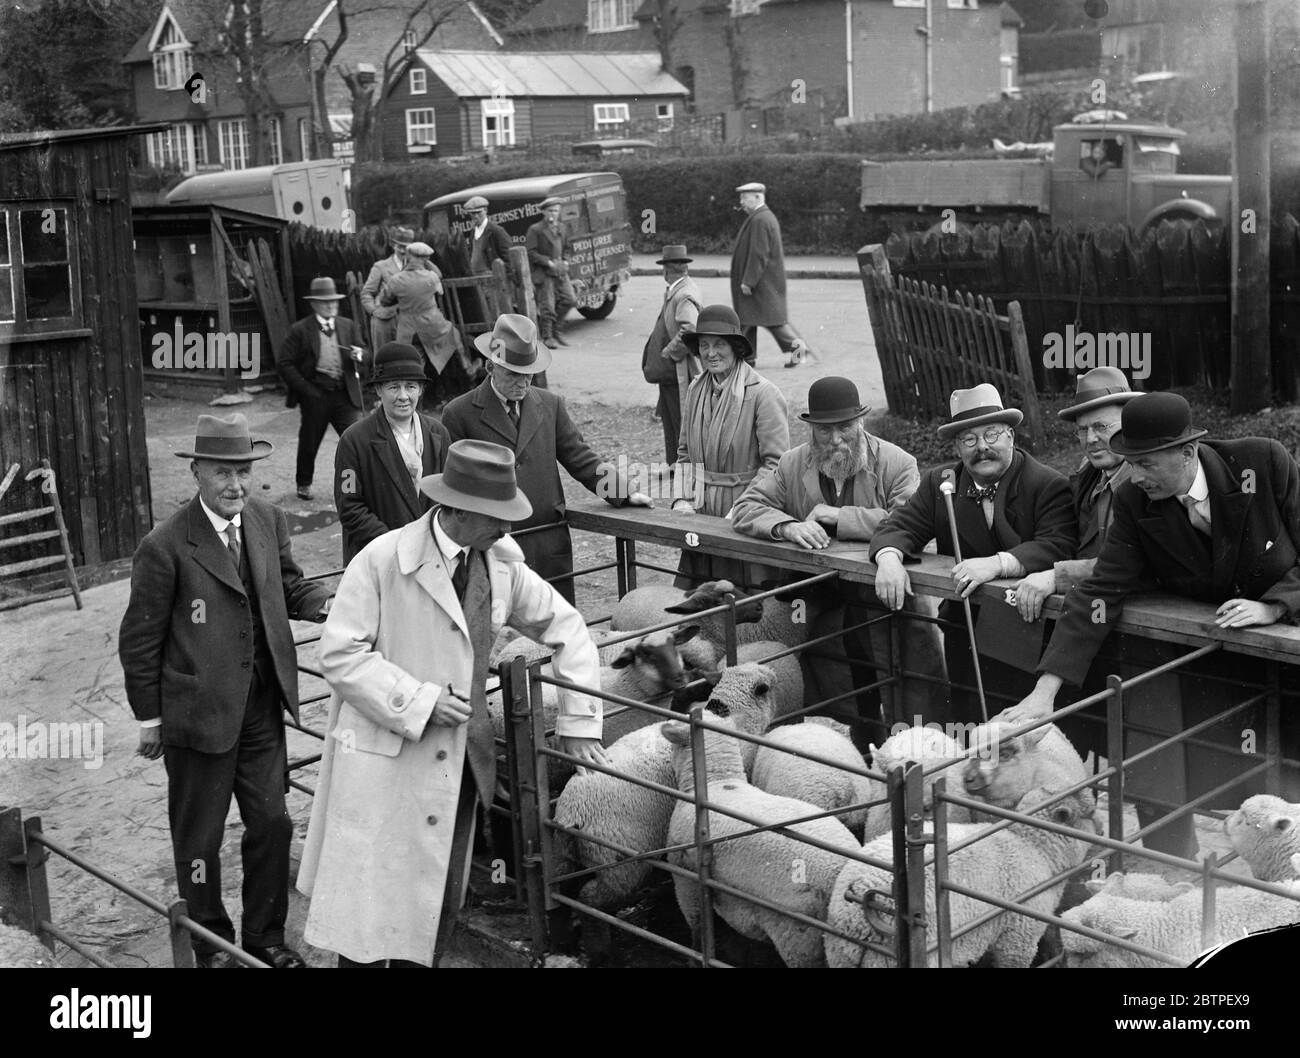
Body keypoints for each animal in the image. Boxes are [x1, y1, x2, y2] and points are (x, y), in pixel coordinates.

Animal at [665, 712, 857, 967]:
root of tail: (838, 872)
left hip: (797, 934)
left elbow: (697, 927)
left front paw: (696, 958)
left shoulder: (686, 878)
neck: (717, 783)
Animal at [821, 785, 1097, 967]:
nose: (1102, 828)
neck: (1034, 846)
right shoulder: (1018, 935)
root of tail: (859, 902)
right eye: (1089, 814)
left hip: (841, 954)